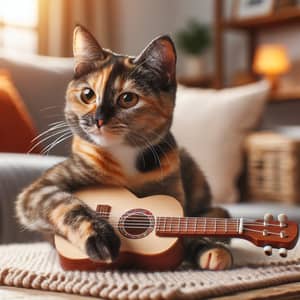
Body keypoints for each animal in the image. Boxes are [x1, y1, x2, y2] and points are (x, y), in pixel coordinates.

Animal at [15, 25, 232, 270]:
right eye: (87, 95)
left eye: (128, 99)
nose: (98, 119)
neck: (124, 156)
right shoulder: (39, 190)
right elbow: (65, 204)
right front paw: (98, 236)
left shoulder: (174, 196)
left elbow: (192, 227)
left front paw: (211, 248)